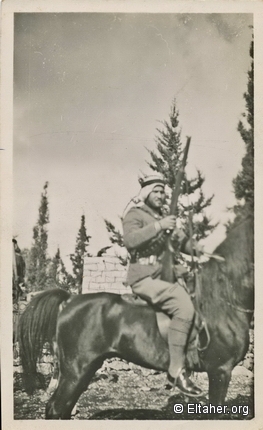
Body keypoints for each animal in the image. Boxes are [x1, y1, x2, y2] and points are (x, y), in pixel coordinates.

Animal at [18, 217, 254, 418]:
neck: (221, 299)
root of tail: (70, 299)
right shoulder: (219, 371)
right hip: (75, 371)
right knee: (56, 408)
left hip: (86, 369)